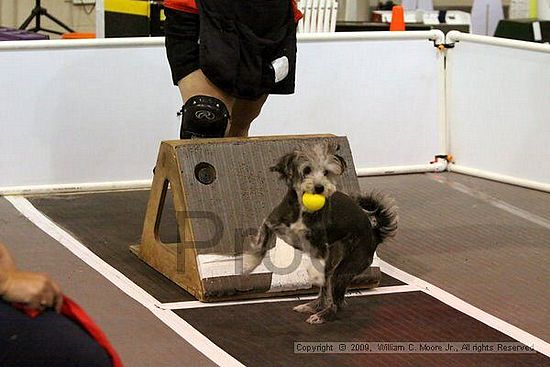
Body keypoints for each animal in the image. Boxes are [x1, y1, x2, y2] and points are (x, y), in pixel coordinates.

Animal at [244, 143, 398, 324]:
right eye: (306, 170)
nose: (320, 188)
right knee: (326, 293)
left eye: (326, 172)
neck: (303, 209)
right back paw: (312, 307)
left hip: (344, 269)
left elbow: (317, 263)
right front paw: (250, 263)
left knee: (338, 303)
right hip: (334, 265)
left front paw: (315, 275)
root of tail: (374, 235)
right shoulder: (271, 223)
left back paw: (322, 315)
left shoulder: (319, 244)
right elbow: (261, 243)